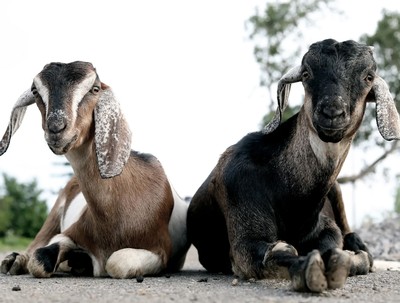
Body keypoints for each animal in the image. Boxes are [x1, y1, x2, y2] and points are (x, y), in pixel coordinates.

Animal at [0, 61, 191, 280]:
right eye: (35, 90)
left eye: (95, 89)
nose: (56, 128)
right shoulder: (70, 232)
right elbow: (39, 259)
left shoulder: (161, 250)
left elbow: (117, 262)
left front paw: (80, 261)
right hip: (54, 214)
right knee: (36, 245)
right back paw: (14, 261)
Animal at [187, 39, 400, 294]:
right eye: (307, 74)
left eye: (368, 76)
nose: (332, 112)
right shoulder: (242, 214)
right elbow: (275, 252)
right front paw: (310, 270)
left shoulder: (324, 227)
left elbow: (334, 242)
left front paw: (346, 259)